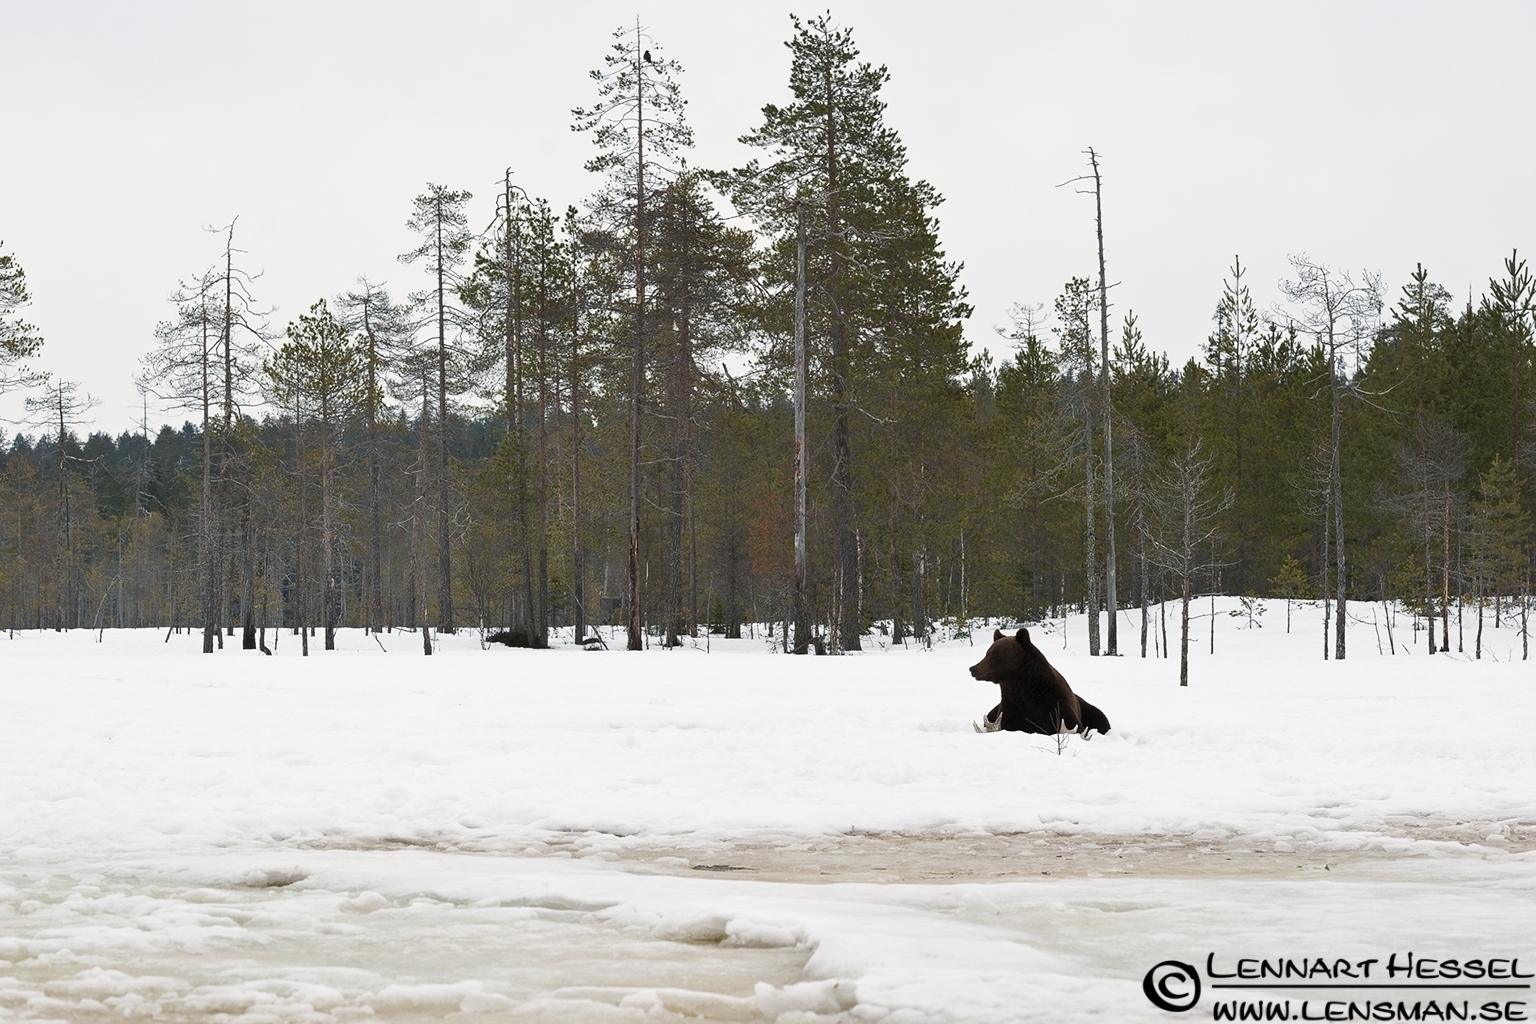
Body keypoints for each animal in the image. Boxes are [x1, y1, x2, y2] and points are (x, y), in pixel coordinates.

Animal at [968, 628, 1111, 737]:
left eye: (995, 654)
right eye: (987, 652)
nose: (973, 668)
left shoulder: (1056, 704)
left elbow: (1072, 725)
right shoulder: (1010, 706)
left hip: (1090, 709)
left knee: (1102, 719)